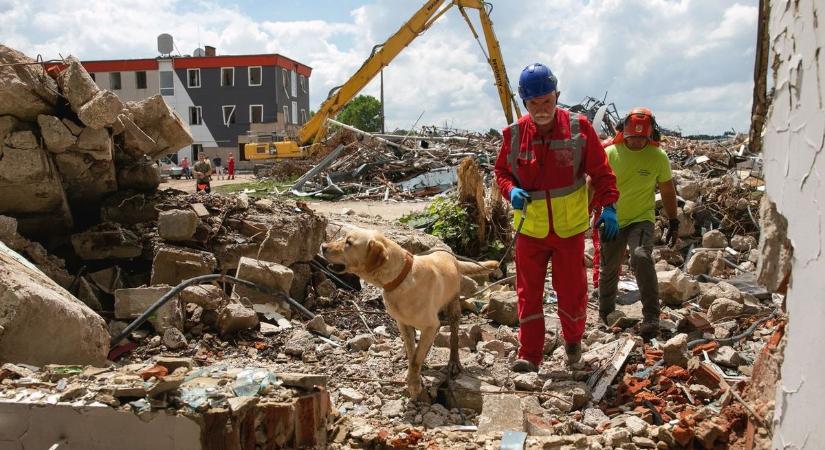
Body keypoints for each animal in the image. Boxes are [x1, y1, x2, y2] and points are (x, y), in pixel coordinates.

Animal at [322, 229, 496, 398]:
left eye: (349, 242)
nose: (323, 246)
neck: (401, 277)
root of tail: (450, 255)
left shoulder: (430, 325)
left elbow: (416, 358)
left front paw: (414, 385)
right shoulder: (403, 323)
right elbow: (413, 353)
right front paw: (412, 375)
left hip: (453, 307)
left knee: (453, 338)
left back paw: (453, 362)